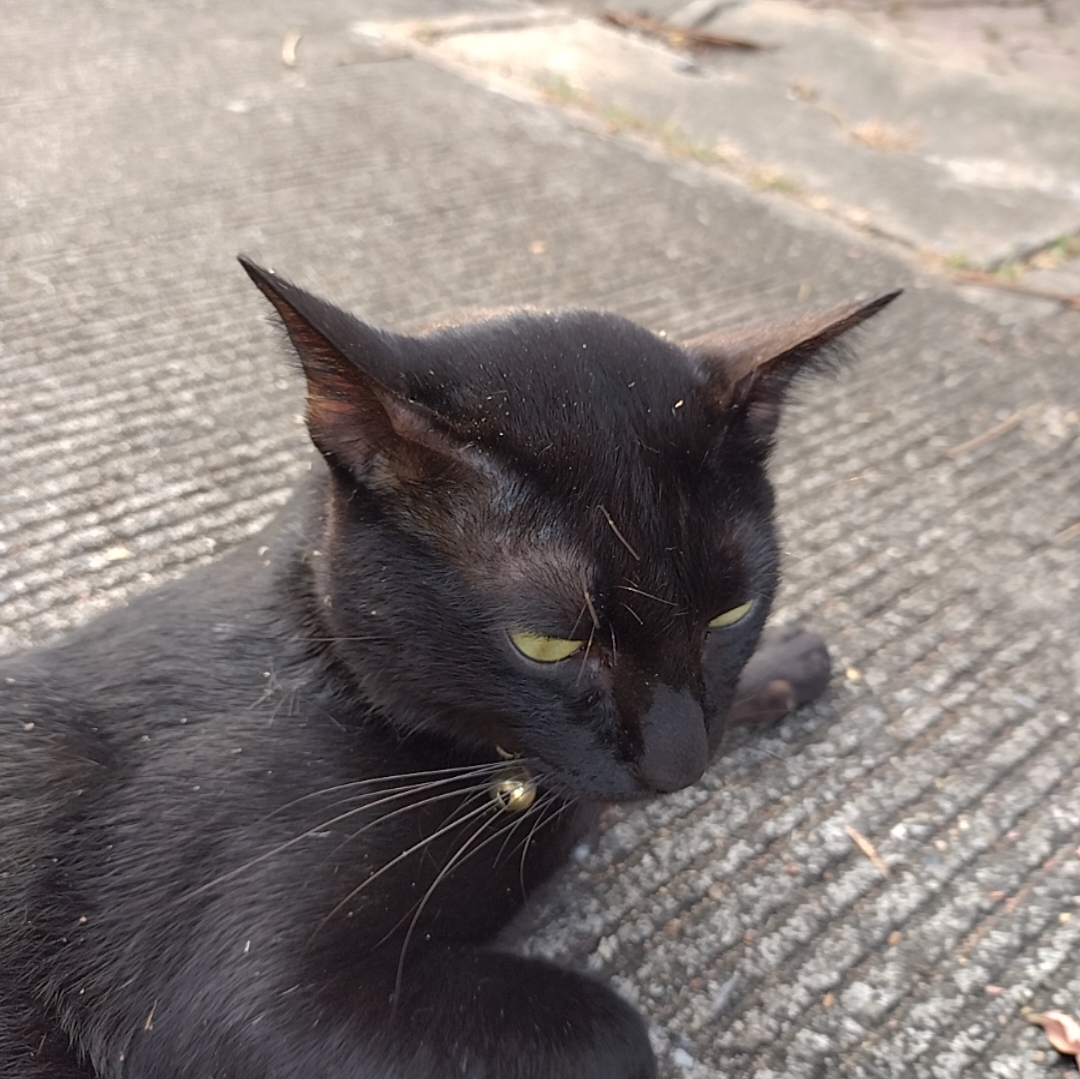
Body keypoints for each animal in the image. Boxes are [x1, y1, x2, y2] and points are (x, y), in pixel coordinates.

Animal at [0, 258, 896, 1079]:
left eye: (730, 615)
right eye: (547, 645)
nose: (677, 768)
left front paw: (789, 660)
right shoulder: (233, 998)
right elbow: (612, 1026)